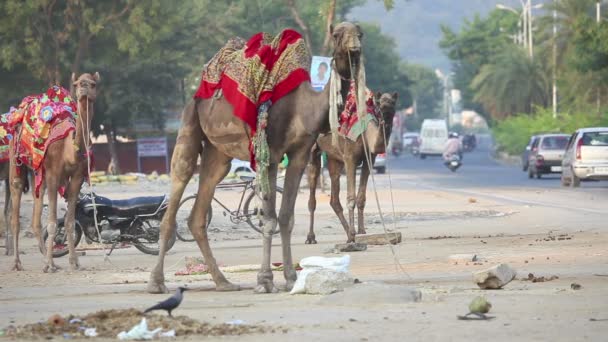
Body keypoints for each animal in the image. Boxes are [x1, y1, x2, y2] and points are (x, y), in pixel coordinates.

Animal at [8, 73, 99, 272]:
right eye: (76, 84)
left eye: (93, 84)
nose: (83, 86)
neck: (69, 150)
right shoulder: (53, 175)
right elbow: (52, 223)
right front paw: (49, 264)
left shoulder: (77, 177)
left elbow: (70, 222)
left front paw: (73, 262)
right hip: (16, 158)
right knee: (16, 208)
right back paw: (18, 263)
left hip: (38, 172)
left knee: (36, 215)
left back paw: (48, 260)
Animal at [147, 22, 366, 294]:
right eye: (337, 35)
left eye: (360, 33)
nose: (355, 48)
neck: (303, 107)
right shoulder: (270, 154)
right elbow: (269, 219)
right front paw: (265, 280)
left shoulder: (300, 154)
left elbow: (286, 217)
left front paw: (291, 278)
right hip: (190, 120)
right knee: (180, 178)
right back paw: (156, 283)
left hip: (218, 152)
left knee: (201, 204)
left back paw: (223, 282)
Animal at [308, 92, 400, 244]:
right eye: (379, 104)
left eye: (393, 103)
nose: (386, 111)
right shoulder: (350, 158)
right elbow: (351, 198)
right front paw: (353, 232)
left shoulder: (370, 160)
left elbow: (361, 198)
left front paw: (361, 231)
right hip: (313, 150)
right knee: (312, 192)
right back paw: (311, 237)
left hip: (334, 157)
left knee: (334, 196)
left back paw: (348, 235)